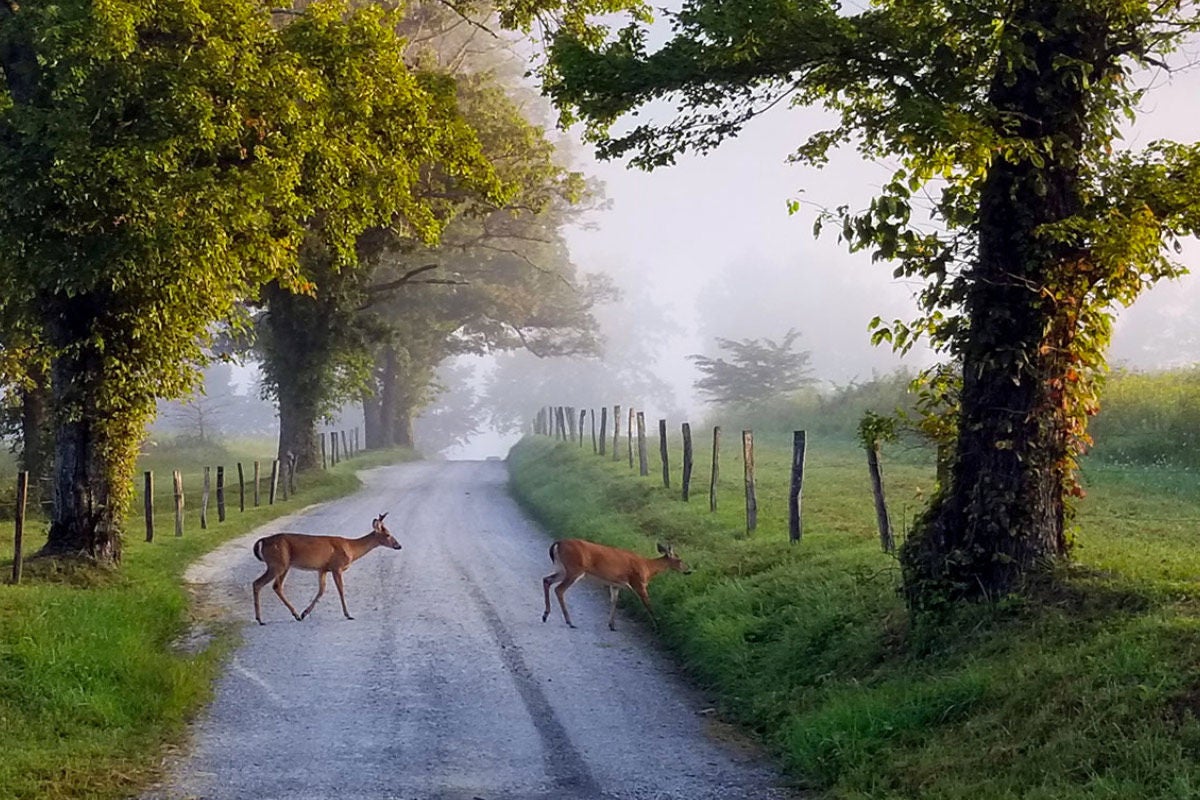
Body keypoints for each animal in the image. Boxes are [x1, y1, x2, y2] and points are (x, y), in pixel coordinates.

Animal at [253, 513, 403, 623]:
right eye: (388, 534)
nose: (399, 545)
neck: (351, 549)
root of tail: (263, 540)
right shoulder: (337, 567)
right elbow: (341, 590)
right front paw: (348, 614)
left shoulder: (323, 569)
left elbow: (321, 590)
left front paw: (305, 613)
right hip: (278, 564)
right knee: (258, 583)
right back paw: (260, 619)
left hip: (284, 565)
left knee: (276, 586)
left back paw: (295, 614)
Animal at [540, 537, 691, 633]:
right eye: (680, 559)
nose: (688, 570)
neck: (648, 568)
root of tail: (558, 543)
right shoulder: (638, 583)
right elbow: (648, 605)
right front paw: (658, 626)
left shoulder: (615, 584)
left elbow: (614, 601)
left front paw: (612, 625)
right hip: (575, 569)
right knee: (559, 589)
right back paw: (569, 621)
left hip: (563, 569)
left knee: (546, 580)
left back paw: (546, 615)